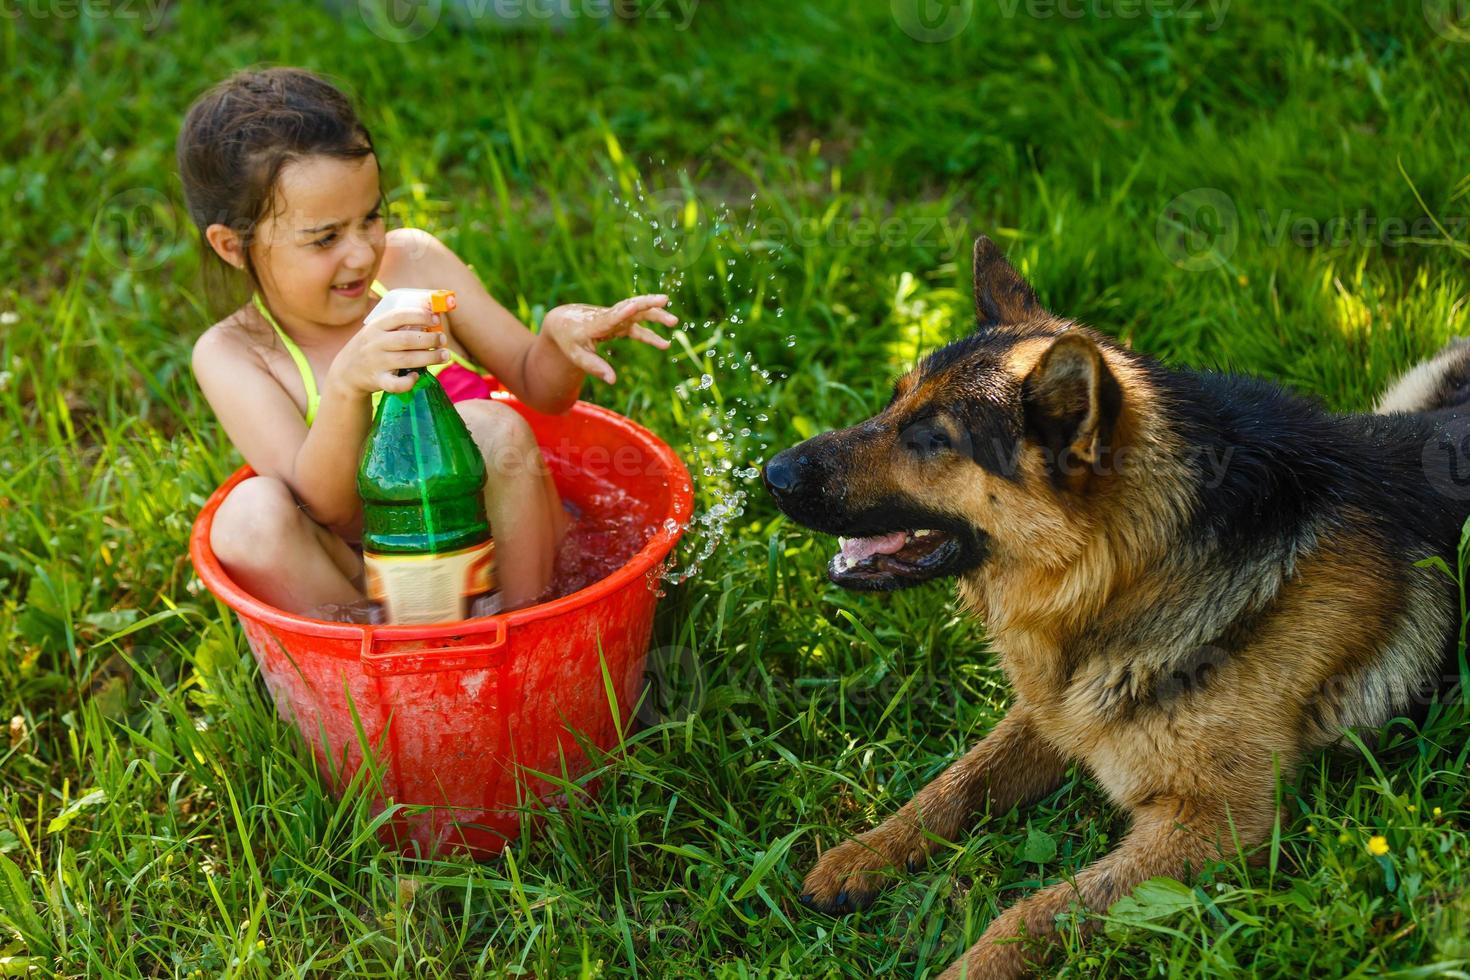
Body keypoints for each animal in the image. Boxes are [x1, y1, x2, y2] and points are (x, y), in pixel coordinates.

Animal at [758, 239, 1470, 980]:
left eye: (931, 439)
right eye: (894, 403)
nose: (771, 475)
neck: (1134, 573)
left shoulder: (1212, 822)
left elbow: (1038, 910)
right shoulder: (1059, 709)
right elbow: (954, 782)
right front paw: (864, 853)